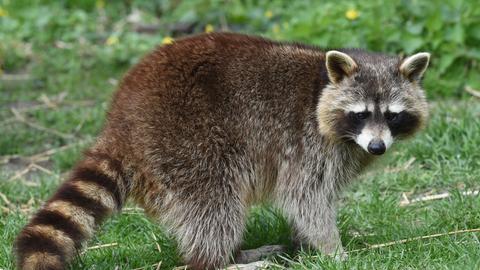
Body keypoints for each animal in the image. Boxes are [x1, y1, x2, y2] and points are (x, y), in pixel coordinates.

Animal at [14, 32, 428, 268]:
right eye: (360, 114)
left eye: (392, 116)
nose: (377, 147)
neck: (321, 87)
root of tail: (121, 122)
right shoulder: (306, 143)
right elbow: (305, 197)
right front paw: (333, 249)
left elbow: (309, 202)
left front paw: (306, 241)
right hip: (187, 140)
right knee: (215, 203)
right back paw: (223, 260)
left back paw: (236, 254)